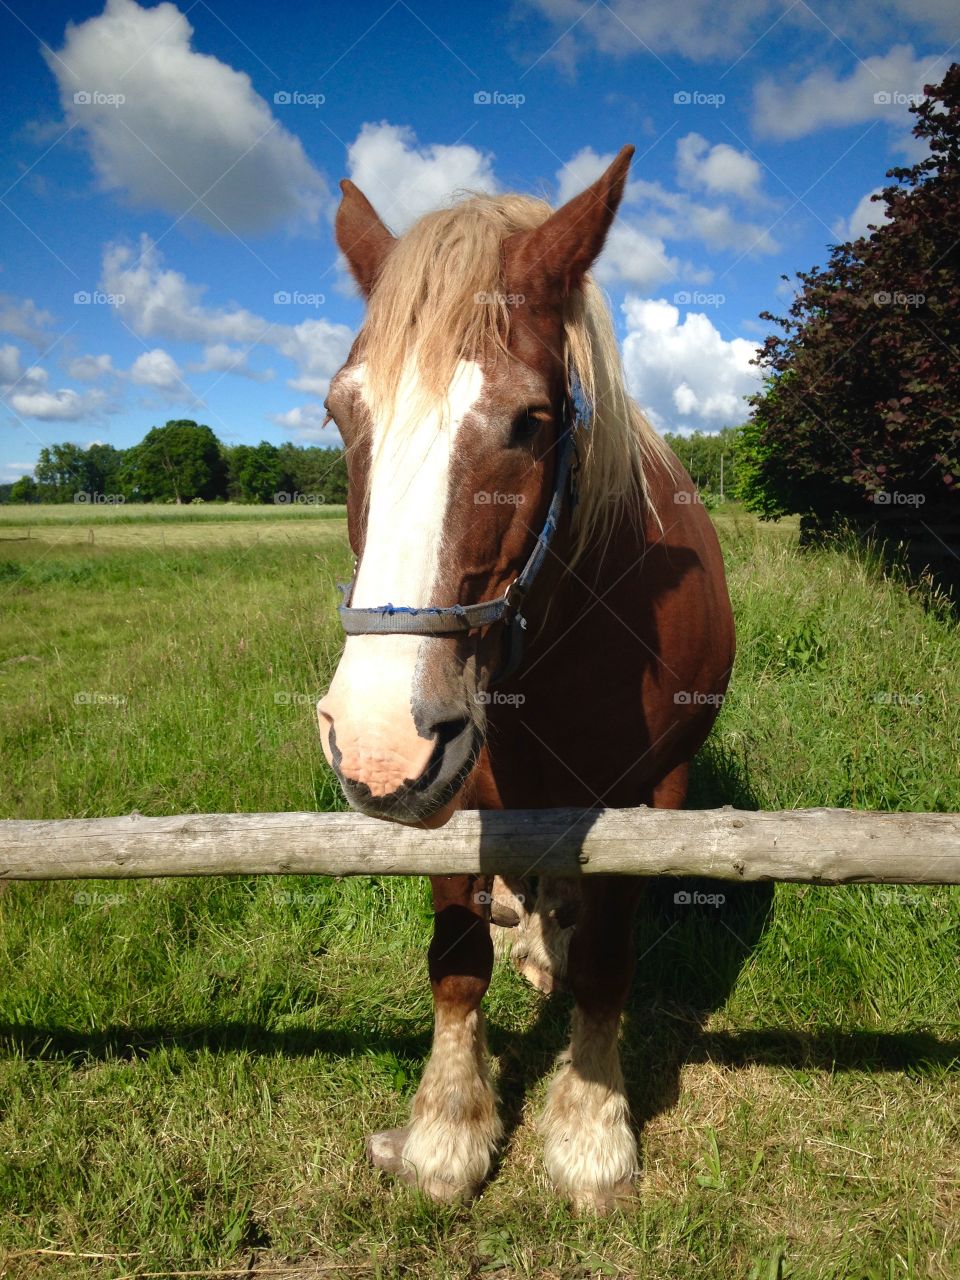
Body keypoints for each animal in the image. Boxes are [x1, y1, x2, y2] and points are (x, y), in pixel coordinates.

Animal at [317, 145, 737, 1213]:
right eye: (340, 413)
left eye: (532, 421)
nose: (377, 739)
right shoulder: (453, 792)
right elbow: (456, 964)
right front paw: (447, 1132)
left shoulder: (650, 797)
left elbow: (605, 967)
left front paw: (590, 1135)